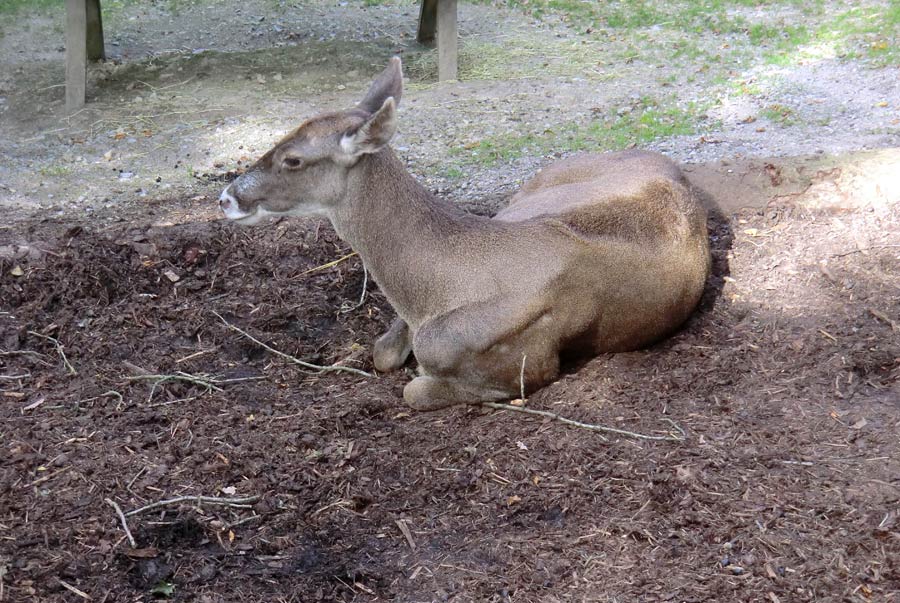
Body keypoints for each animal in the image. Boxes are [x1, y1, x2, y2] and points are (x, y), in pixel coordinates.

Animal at [218, 56, 712, 412]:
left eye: (293, 159)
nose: (226, 198)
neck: (443, 286)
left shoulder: (528, 363)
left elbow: (414, 390)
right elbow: (382, 352)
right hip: (526, 193)